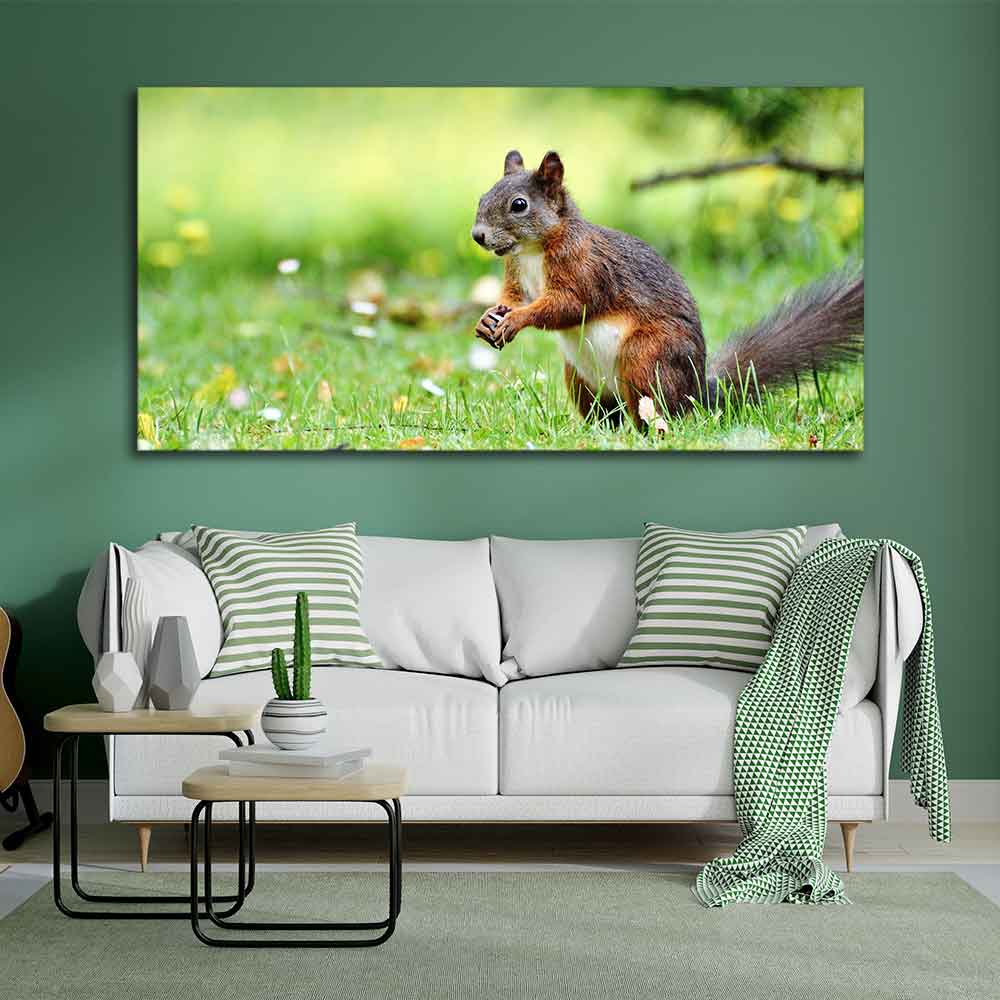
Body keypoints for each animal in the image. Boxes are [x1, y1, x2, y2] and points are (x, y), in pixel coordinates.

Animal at [471, 150, 863, 427]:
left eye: (519, 205)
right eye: (482, 198)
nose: (478, 236)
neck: (532, 251)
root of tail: (695, 394)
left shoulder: (586, 269)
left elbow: (568, 305)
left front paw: (516, 319)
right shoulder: (516, 273)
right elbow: (512, 297)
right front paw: (489, 318)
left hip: (646, 357)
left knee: (653, 410)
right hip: (580, 378)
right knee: (608, 416)